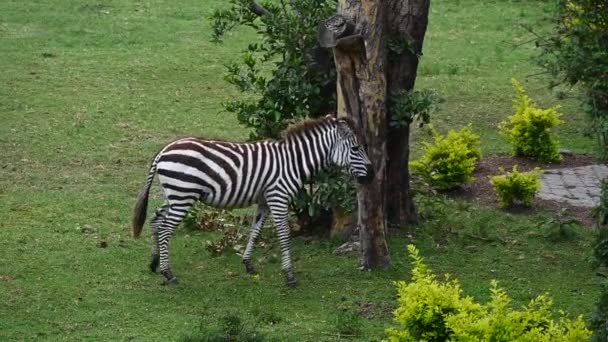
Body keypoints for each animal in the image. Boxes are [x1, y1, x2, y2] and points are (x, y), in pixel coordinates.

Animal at [131, 115, 372, 286]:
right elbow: (284, 236)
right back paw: (168, 274)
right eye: (355, 148)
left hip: (175, 195)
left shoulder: (265, 201)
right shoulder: (278, 197)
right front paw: (289, 276)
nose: (371, 175)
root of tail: (162, 151)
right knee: (165, 228)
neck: (292, 162)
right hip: (183, 195)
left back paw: (154, 264)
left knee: (156, 221)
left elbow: (255, 232)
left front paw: (248, 264)